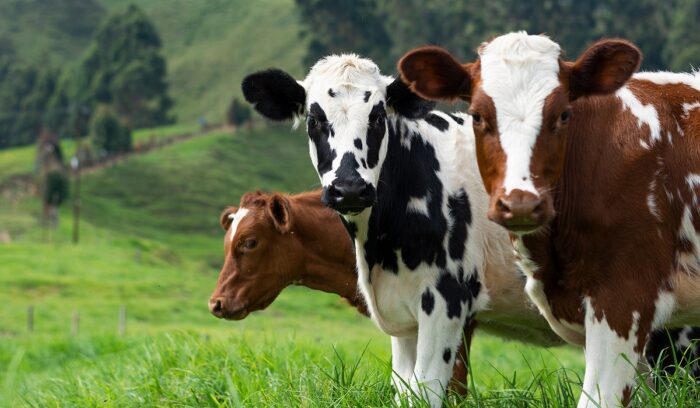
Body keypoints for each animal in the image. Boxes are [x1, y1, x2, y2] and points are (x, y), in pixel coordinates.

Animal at [240, 55, 563, 406]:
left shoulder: (448, 300)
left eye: (378, 115)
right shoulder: (404, 318)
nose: (349, 189)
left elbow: (427, 390)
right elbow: (404, 390)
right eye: (315, 119)